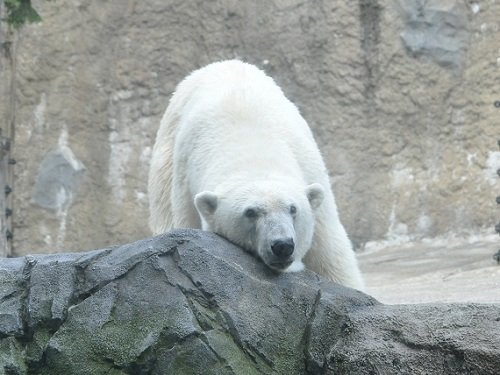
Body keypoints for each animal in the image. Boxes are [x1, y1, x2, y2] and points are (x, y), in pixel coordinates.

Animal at [147, 61, 364, 290]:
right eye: (250, 212)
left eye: (293, 209)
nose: (282, 245)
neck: (253, 148)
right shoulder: (186, 177)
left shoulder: (309, 167)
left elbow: (330, 250)